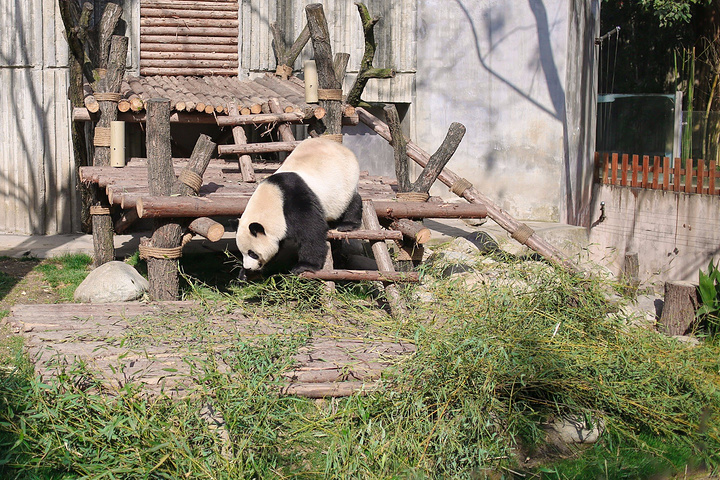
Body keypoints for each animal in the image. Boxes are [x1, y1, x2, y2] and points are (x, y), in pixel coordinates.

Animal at [236, 137, 362, 276]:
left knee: (351, 200)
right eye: (241, 253)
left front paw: (304, 266)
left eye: (252, 253)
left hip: (345, 179)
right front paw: (245, 273)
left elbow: (312, 231)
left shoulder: (296, 201)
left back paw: (348, 224)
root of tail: (341, 146)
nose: (248, 267)